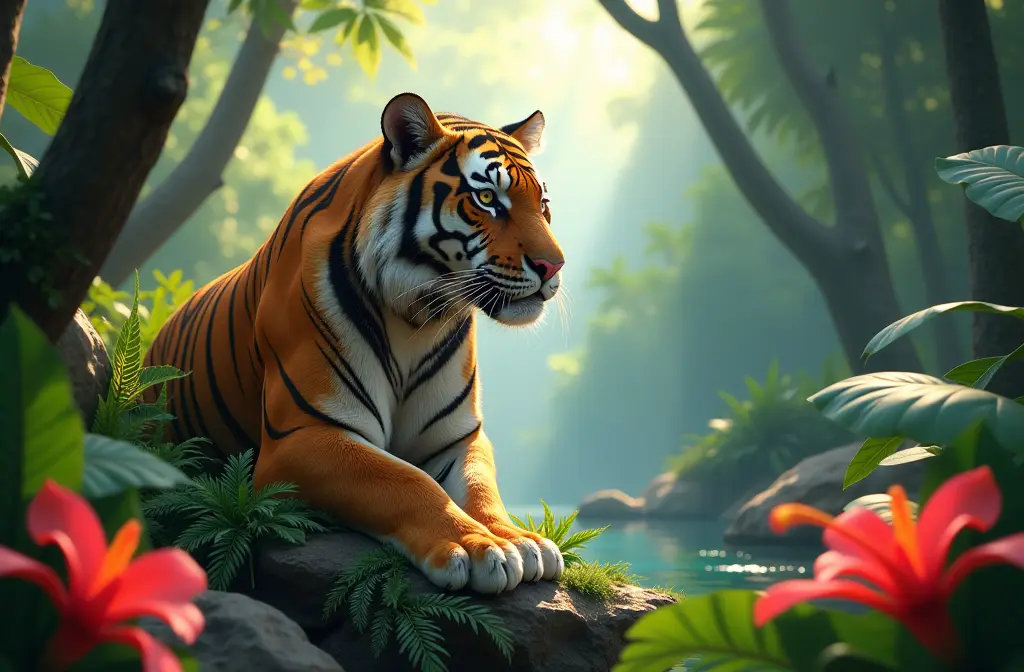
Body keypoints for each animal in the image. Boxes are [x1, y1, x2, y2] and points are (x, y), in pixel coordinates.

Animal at [144, 93, 566, 595]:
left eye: (543, 203)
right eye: (487, 199)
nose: (554, 266)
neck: (419, 318)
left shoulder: (456, 438)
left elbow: (481, 489)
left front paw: (520, 539)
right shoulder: (304, 435)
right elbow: (405, 480)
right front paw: (478, 547)